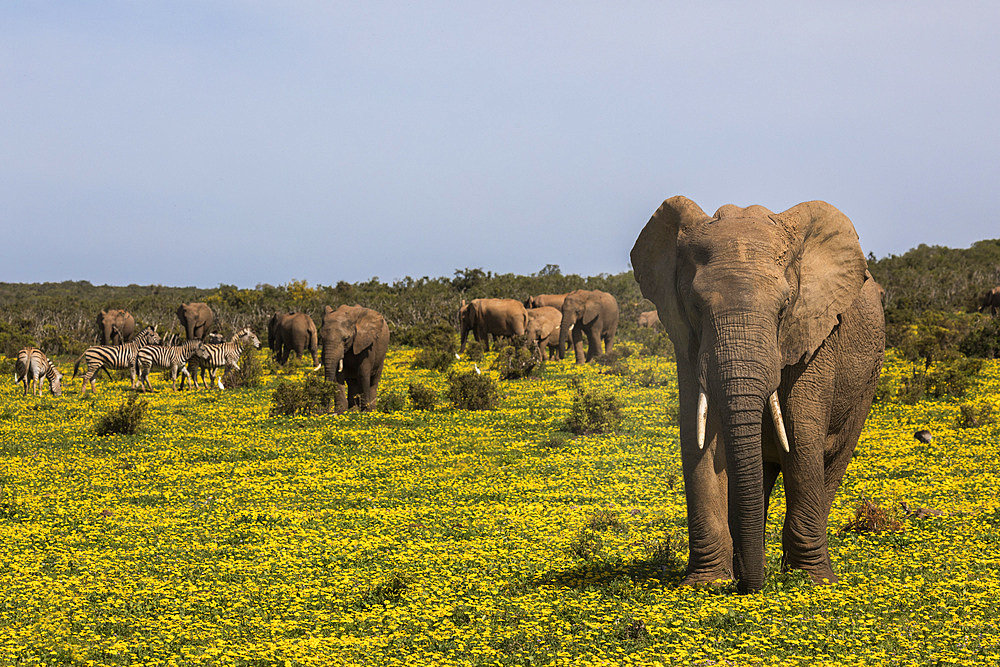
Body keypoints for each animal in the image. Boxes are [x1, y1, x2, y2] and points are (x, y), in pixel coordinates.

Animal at [632, 196, 884, 592]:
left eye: (783, 309)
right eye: (696, 307)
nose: (750, 588)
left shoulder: (816, 333)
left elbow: (802, 433)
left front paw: (813, 582)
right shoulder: (687, 341)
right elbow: (698, 437)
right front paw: (706, 585)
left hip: (866, 382)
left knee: (832, 458)